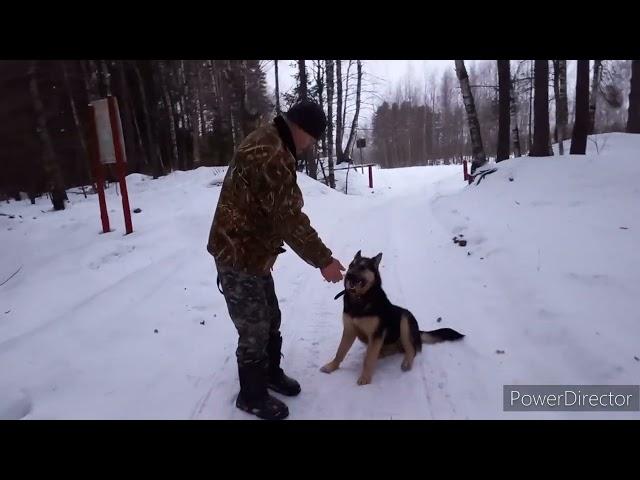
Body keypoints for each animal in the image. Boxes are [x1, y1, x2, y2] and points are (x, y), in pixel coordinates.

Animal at [322, 251, 462, 386]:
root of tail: (418, 332)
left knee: (411, 349)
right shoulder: (349, 331)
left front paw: (365, 378)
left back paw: (406, 362)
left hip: (405, 321)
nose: (349, 275)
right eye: (351, 266)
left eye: (362, 267)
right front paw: (331, 366)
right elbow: (340, 352)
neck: (360, 298)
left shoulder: (376, 335)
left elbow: (368, 360)